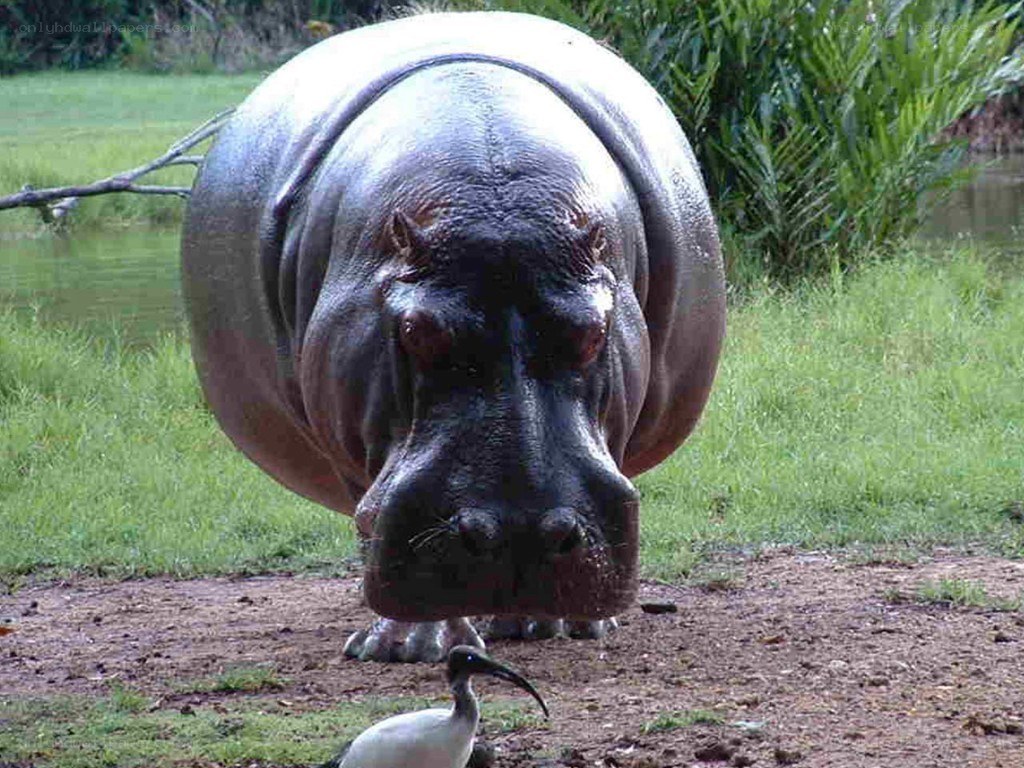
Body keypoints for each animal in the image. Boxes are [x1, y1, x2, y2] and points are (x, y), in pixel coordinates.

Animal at [181, 11, 725, 662]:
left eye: (595, 331)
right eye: (414, 330)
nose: (520, 533)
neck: (491, 192)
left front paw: (561, 625)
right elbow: (378, 514)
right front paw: (407, 646)